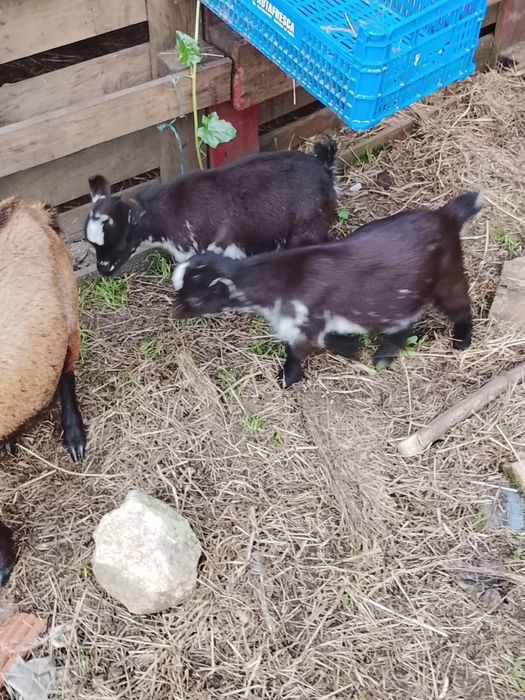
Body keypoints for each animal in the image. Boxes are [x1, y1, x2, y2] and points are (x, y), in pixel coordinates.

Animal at [172, 192, 483, 388]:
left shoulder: (306, 320)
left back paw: (461, 339)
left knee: (460, 304)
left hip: (447, 275)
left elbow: (301, 349)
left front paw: (287, 378)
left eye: (196, 299)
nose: (175, 313)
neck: (278, 280)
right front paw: (352, 347)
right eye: (178, 288)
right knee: (405, 321)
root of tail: (446, 216)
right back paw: (383, 356)